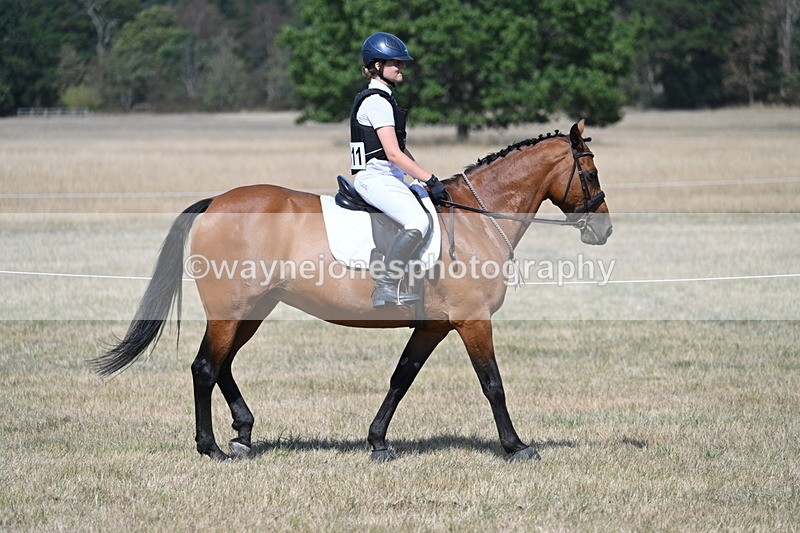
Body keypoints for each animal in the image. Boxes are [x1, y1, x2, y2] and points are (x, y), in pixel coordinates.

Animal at [92, 119, 612, 462]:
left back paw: (242, 432)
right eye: (590, 172)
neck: (477, 218)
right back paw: (212, 447)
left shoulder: (434, 325)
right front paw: (516, 446)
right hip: (231, 310)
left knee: (222, 366)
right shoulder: (472, 321)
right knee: (204, 367)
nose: (604, 230)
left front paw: (378, 441)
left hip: (253, 310)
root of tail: (216, 202)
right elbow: (493, 384)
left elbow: (401, 378)